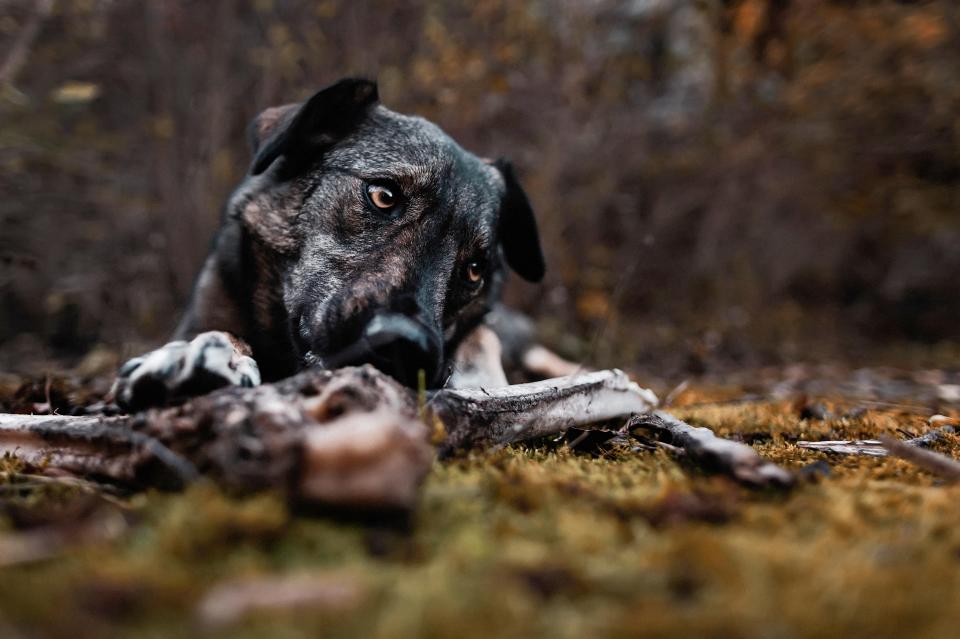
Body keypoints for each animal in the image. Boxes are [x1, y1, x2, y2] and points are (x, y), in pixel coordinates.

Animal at [112, 77, 564, 412]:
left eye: (474, 270)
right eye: (383, 195)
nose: (403, 344)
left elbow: (478, 341)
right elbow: (220, 332)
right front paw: (202, 354)